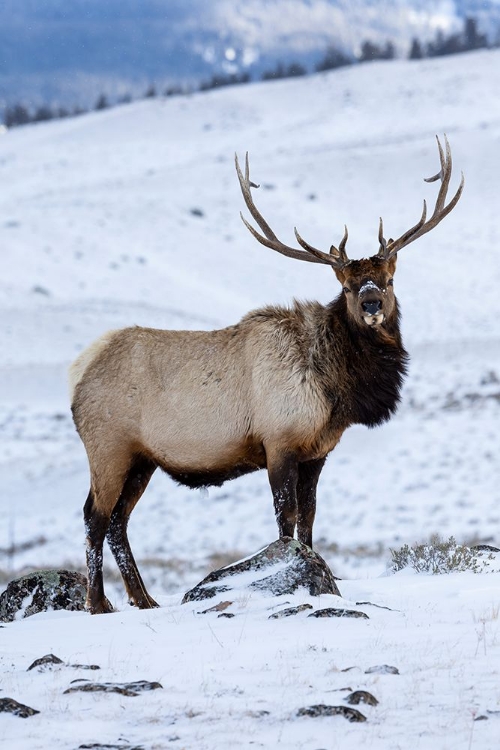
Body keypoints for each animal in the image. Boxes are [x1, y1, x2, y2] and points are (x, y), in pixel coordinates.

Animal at [71, 137, 464, 616]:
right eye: (347, 286)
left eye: (387, 280)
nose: (371, 304)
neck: (334, 389)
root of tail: (78, 373)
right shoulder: (278, 443)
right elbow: (285, 521)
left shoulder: (317, 452)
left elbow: (309, 518)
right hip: (108, 448)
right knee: (94, 517)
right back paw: (97, 602)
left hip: (142, 459)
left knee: (118, 521)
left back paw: (143, 599)